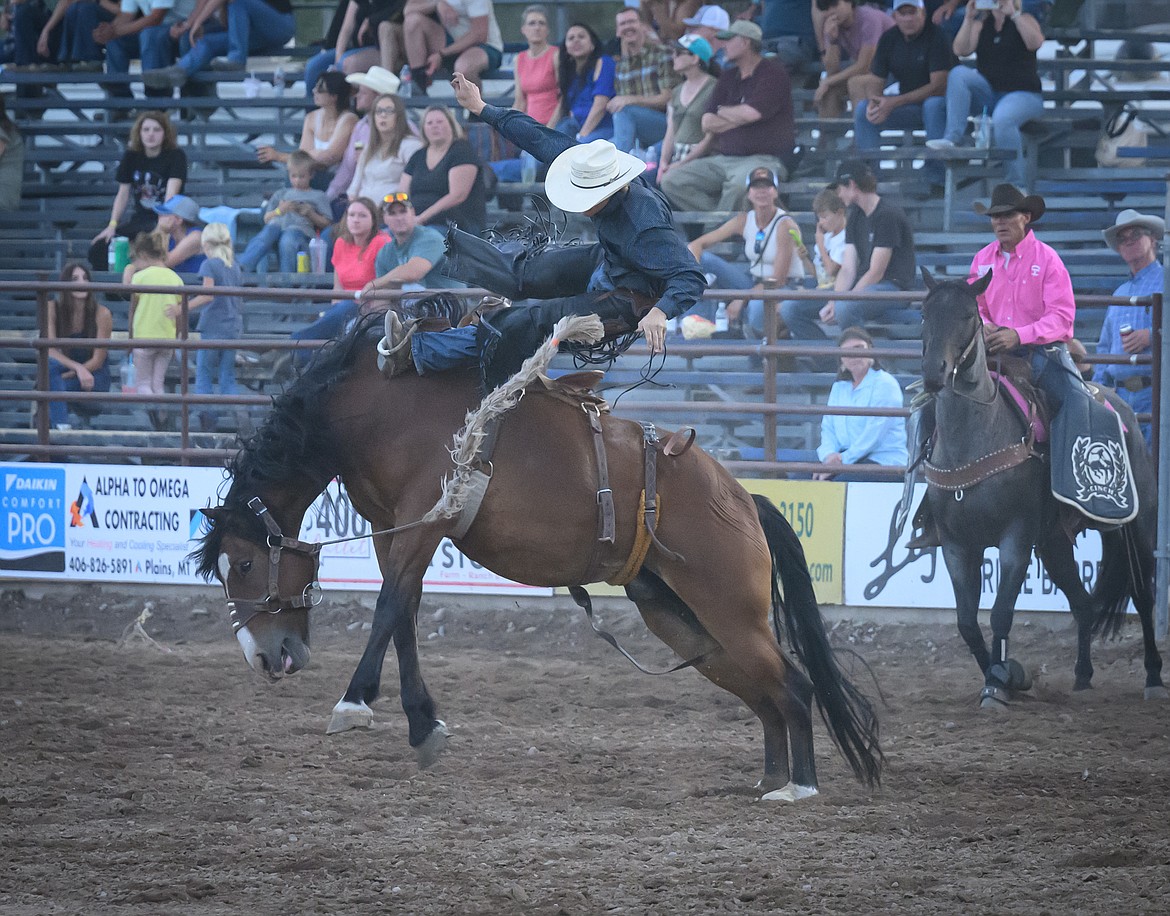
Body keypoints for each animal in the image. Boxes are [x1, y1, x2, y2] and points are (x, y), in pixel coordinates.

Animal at [194, 315, 879, 804]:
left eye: (245, 565)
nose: (264, 657)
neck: (368, 409)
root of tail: (743, 497)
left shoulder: (425, 518)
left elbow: (388, 606)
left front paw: (354, 704)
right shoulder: (393, 528)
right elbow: (405, 613)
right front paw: (423, 726)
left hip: (729, 608)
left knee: (792, 684)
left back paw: (799, 786)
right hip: (684, 618)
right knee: (765, 691)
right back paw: (770, 779)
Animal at [917, 269, 1165, 706]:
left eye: (968, 315)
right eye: (925, 313)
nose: (934, 373)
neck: (975, 438)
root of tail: (1123, 411)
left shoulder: (1016, 538)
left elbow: (1001, 613)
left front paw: (998, 685)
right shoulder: (956, 545)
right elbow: (967, 623)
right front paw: (1002, 676)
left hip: (1137, 527)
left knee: (1143, 596)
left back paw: (1153, 678)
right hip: (1053, 542)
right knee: (1083, 604)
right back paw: (1082, 677)